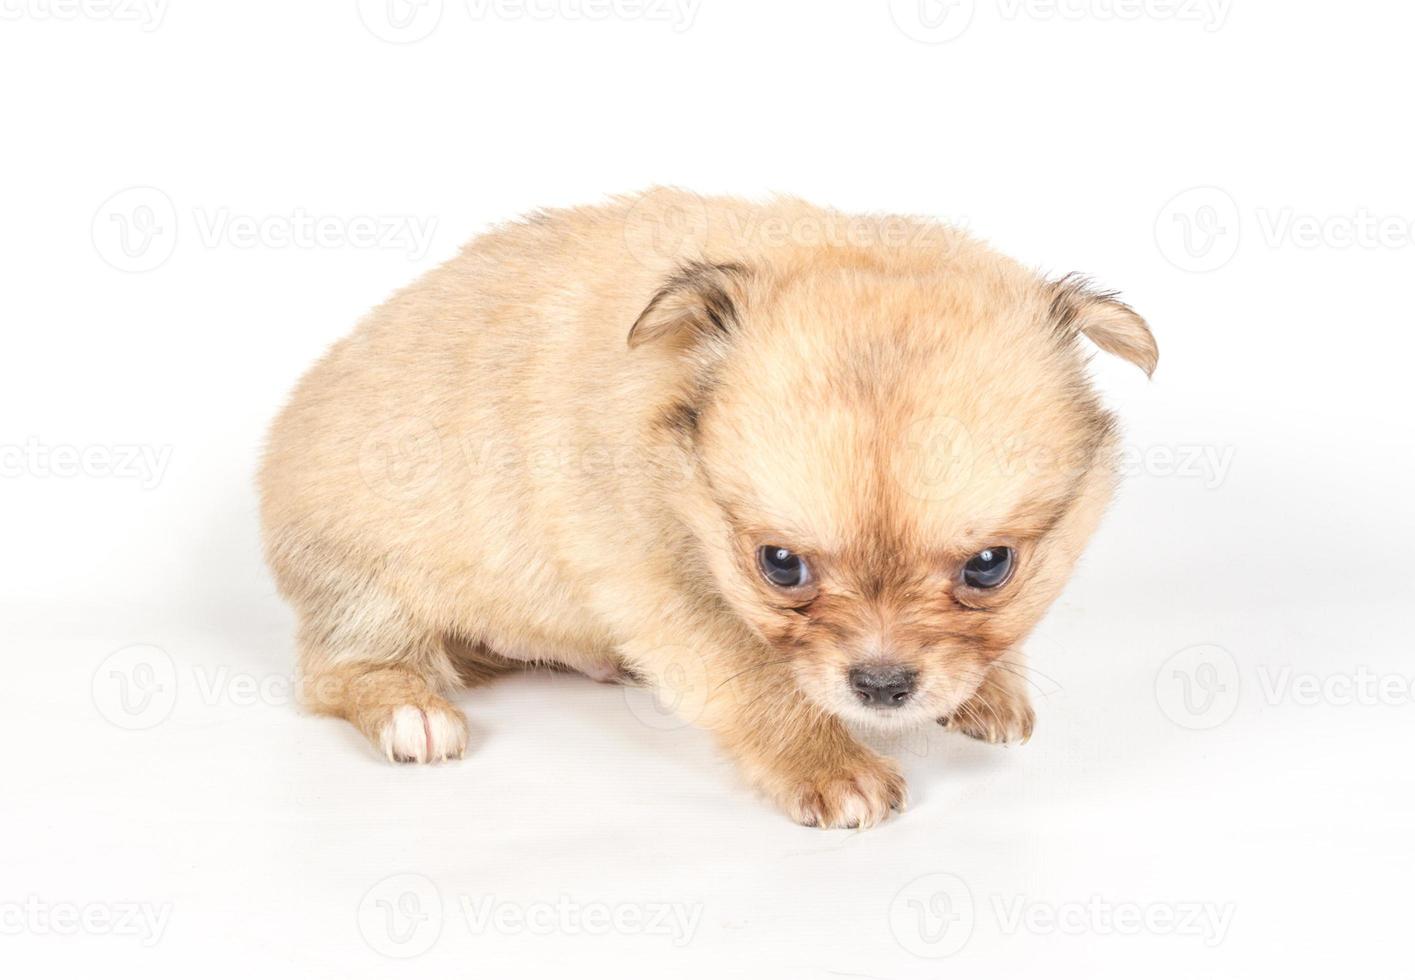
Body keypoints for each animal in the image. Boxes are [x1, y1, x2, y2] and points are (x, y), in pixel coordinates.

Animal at [260, 189, 1154, 825]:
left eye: (989, 566)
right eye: (781, 566)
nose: (881, 685)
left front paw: (990, 687)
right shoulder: (662, 587)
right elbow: (754, 680)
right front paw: (828, 765)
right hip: (364, 583)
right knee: (340, 670)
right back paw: (411, 709)